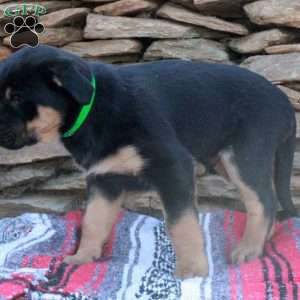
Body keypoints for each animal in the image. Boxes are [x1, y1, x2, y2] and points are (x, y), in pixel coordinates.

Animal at [0, 45, 296, 278]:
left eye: (16, 97)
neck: (92, 110)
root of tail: (284, 101)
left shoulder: (173, 167)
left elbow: (181, 223)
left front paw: (192, 272)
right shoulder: (103, 179)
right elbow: (93, 221)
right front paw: (81, 258)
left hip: (244, 155)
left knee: (263, 202)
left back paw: (249, 248)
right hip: (227, 161)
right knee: (268, 198)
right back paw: (263, 239)